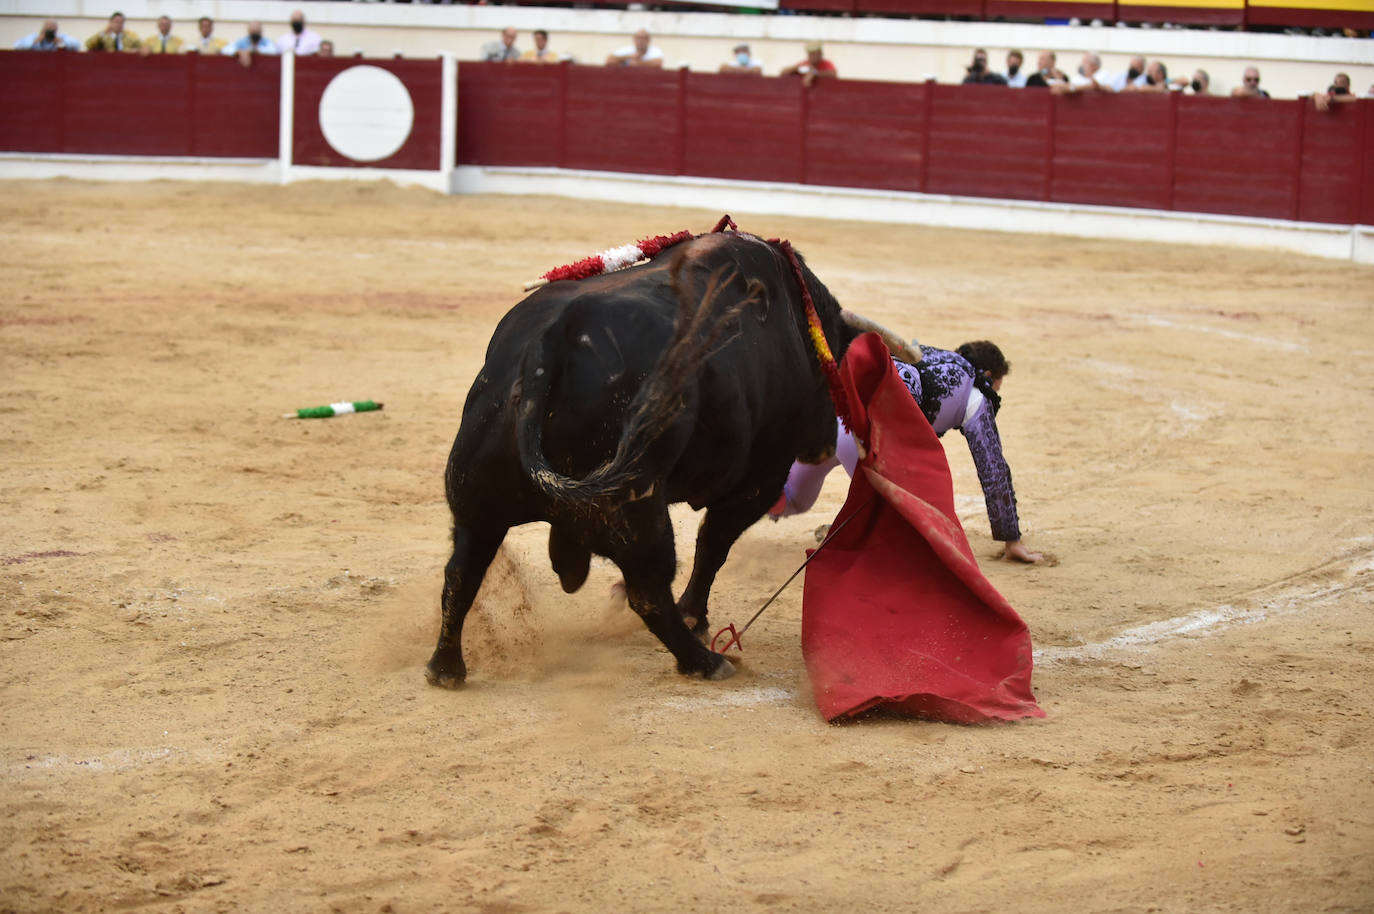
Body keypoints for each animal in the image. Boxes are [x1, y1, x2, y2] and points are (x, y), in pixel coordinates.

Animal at [428, 229, 857, 684]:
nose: (826, 445)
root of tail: (545, 353)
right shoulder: (759, 481)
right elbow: (713, 545)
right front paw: (694, 616)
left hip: (476, 503)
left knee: (462, 570)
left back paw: (445, 667)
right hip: (637, 508)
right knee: (648, 590)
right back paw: (705, 662)